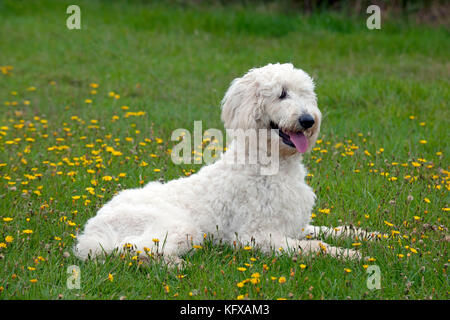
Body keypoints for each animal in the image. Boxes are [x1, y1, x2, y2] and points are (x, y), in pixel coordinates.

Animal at [75, 63, 378, 262]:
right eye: (281, 94)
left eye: (306, 95)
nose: (308, 120)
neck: (271, 163)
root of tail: (91, 230)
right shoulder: (255, 236)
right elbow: (317, 246)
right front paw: (351, 254)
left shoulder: (294, 225)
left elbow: (336, 229)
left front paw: (375, 237)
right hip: (179, 228)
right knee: (130, 251)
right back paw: (174, 264)